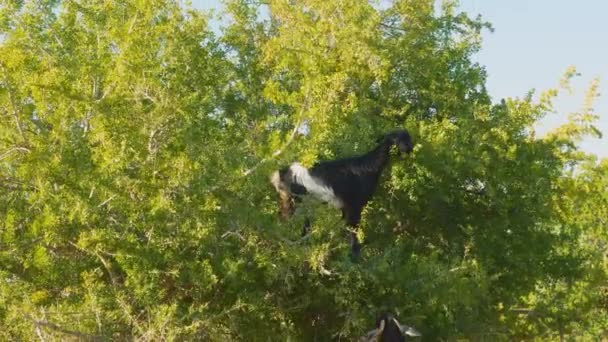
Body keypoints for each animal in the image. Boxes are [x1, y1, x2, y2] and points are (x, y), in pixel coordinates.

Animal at [270, 130, 414, 258]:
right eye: (403, 140)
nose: (410, 148)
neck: (367, 166)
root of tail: (285, 173)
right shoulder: (354, 203)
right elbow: (352, 228)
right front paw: (354, 253)